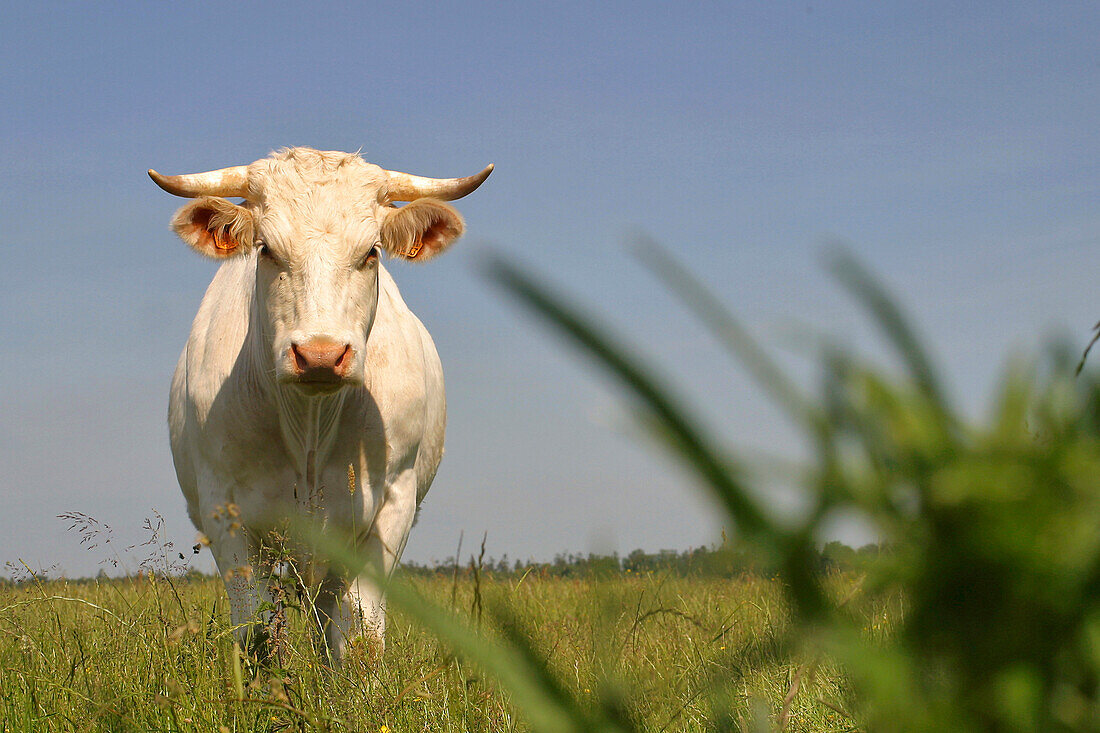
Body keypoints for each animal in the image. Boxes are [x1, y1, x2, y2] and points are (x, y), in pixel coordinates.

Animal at [148, 147, 492, 655]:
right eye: (266, 249)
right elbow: (255, 629)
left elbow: (362, 632)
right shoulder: (223, 509)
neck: (309, 425)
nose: (321, 355)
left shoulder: (390, 504)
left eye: (371, 252)